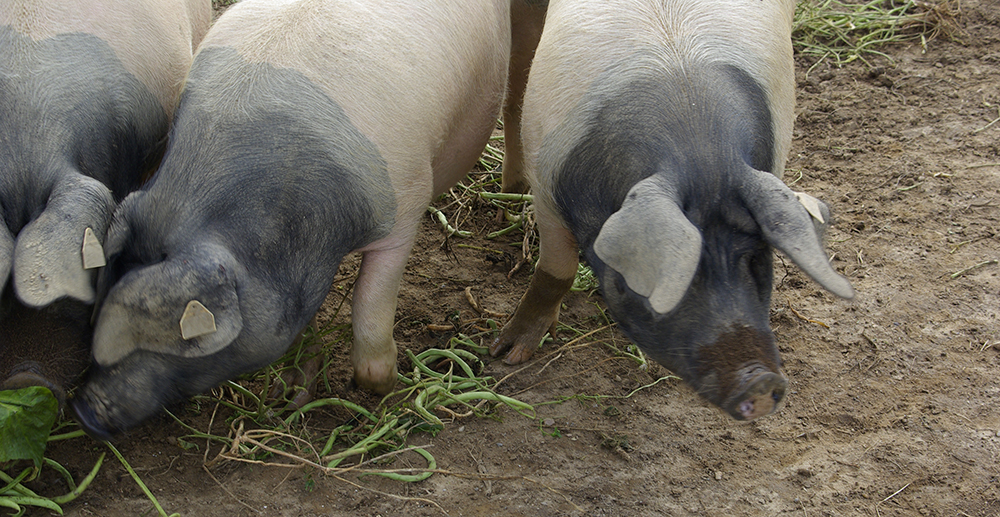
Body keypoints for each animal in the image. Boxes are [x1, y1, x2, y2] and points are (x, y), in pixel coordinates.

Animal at [72, 0, 516, 438]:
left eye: (186, 336)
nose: (86, 409)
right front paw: (291, 396)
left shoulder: (405, 205)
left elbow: (370, 306)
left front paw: (386, 387)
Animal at [488, 0, 856, 422]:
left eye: (756, 260)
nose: (761, 383)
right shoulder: (547, 187)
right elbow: (555, 272)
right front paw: (507, 355)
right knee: (514, 91)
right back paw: (507, 200)